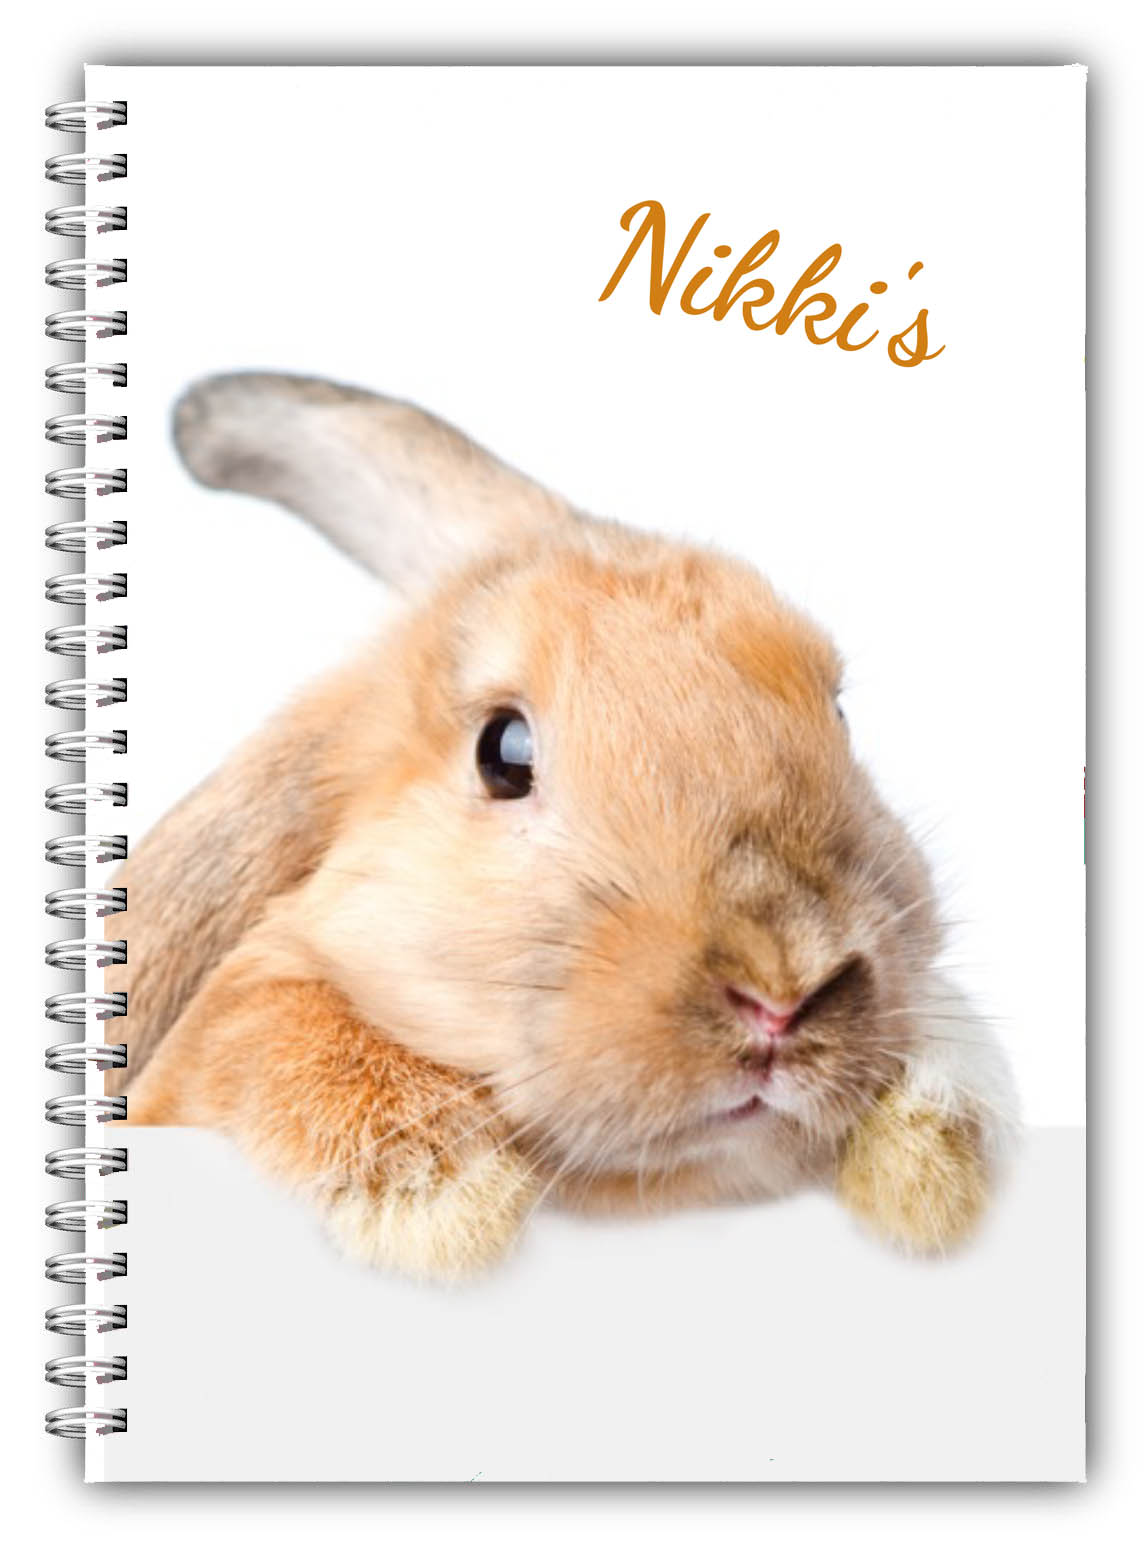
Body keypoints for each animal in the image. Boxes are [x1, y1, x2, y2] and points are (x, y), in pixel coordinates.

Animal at [109, 372, 1018, 1280]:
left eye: (838, 714)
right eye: (503, 752)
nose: (781, 995)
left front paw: (926, 1162)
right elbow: (259, 1022)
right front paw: (451, 1207)